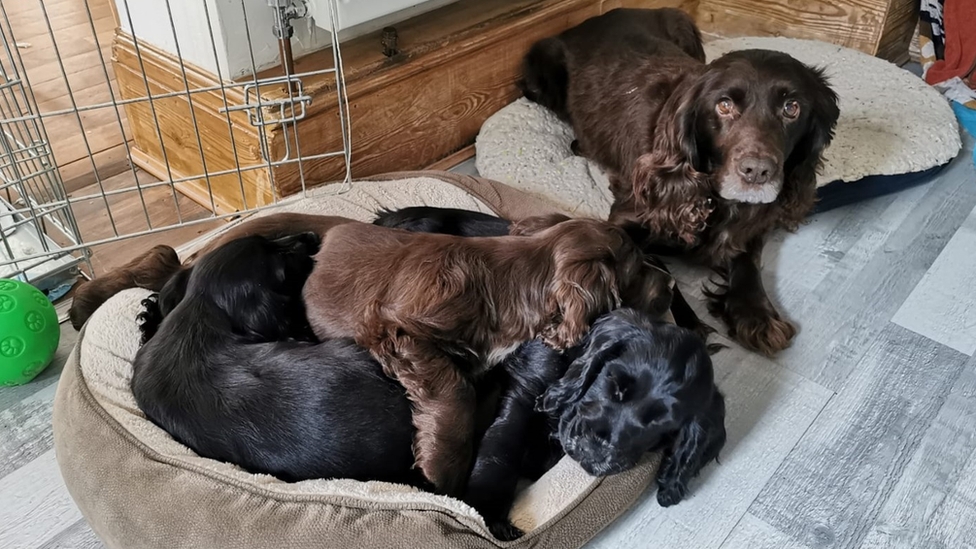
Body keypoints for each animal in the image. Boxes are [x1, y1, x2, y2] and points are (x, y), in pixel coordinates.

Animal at [304, 214, 672, 492]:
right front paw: (443, 467)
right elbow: (457, 391)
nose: (670, 283)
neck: (513, 279)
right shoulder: (398, 329)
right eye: (638, 270)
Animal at [520, 8, 840, 356]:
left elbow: (748, 260)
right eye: (724, 106)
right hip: (540, 72)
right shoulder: (626, 221)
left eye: (791, 108)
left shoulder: (753, 223)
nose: (757, 172)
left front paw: (757, 313)